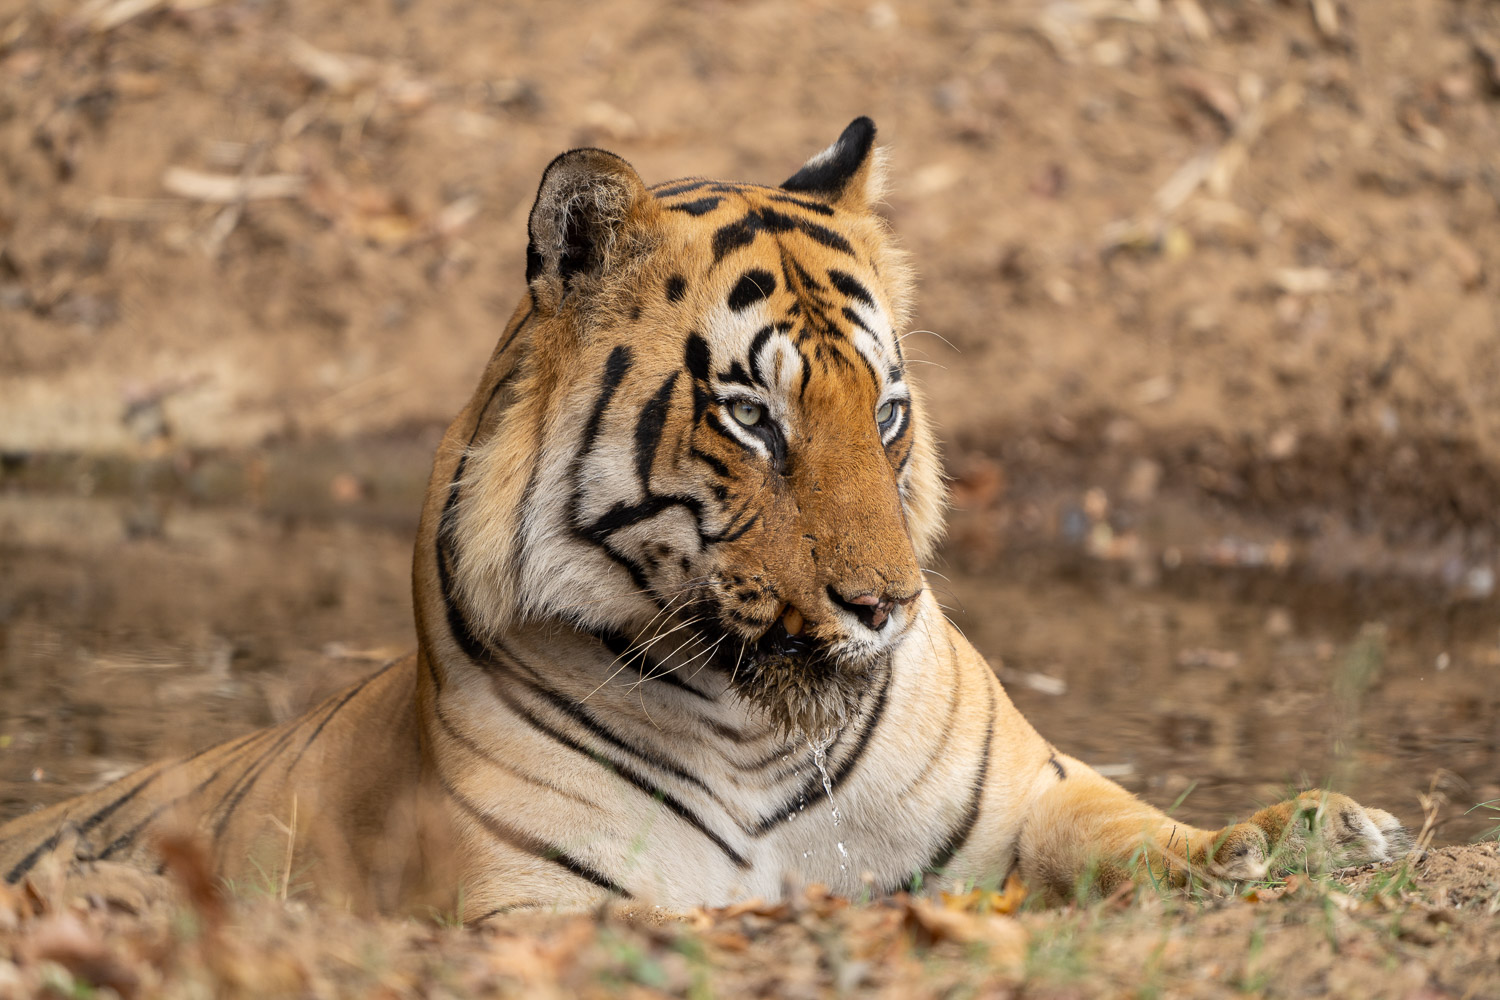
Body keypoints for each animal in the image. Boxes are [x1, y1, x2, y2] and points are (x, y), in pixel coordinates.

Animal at [0, 118, 1409, 919]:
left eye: (885, 412)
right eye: (753, 418)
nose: (884, 606)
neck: (759, 734)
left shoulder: (1024, 798)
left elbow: (1135, 828)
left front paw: (1311, 832)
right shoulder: (533, 908)